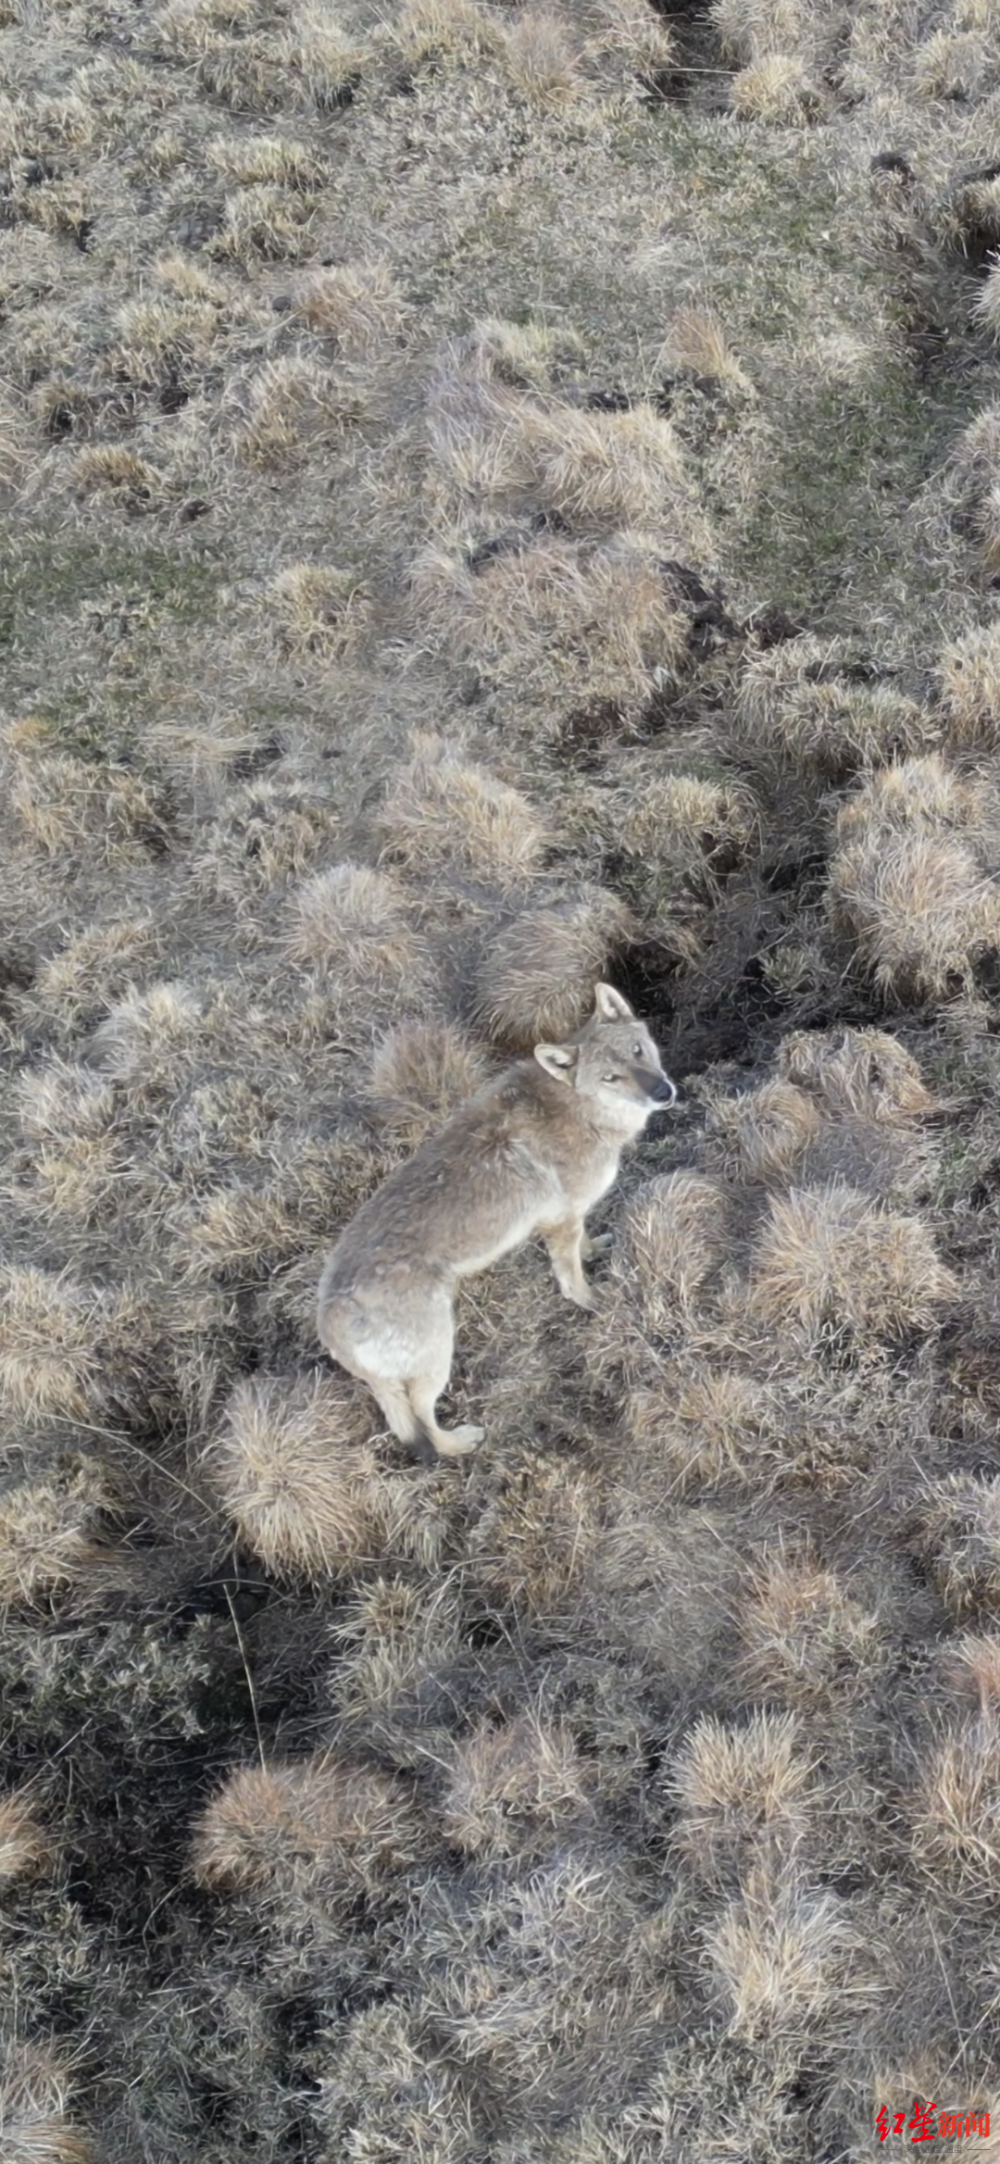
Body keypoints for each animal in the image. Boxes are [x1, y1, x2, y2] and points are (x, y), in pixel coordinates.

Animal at [318, 991, 679, 1462]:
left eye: (638, 1051)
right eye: (611, 1078)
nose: (663, 1092)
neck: (580, 1111)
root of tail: (329, 1319)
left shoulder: (565, 1218)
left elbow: (583, 1244)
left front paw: (597, 1251)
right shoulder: (562, 1221)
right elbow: (573, 1282)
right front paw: (599, 1303)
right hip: (439, 1357)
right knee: (424, 1422)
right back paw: (461, 1443)